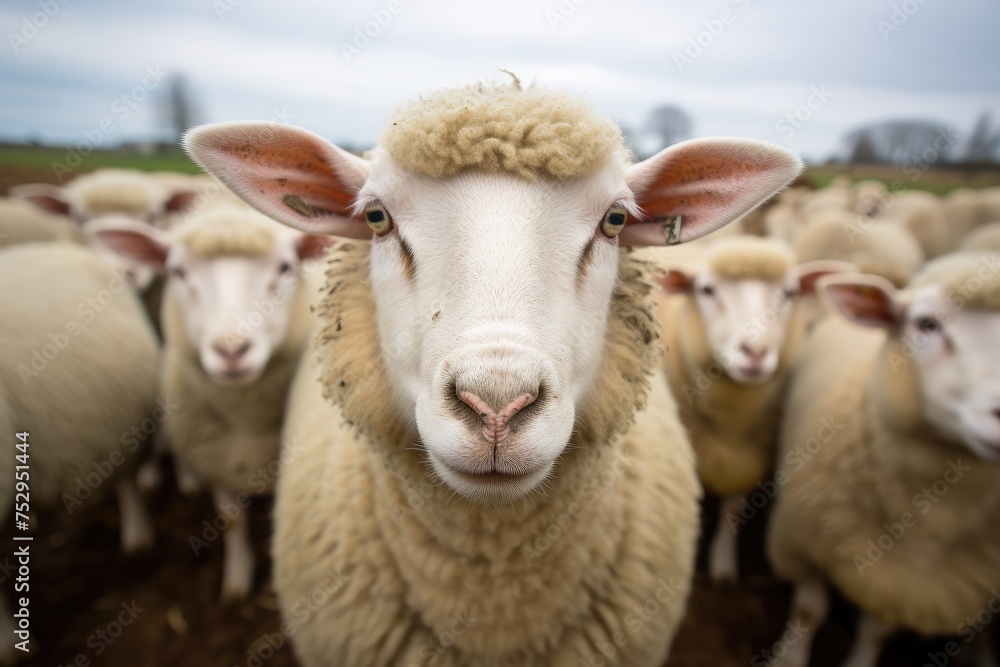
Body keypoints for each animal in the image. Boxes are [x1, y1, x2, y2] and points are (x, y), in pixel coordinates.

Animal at [91, 205, 332, 600]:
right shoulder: (216, 457)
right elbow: (231, 519)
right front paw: (236, 580)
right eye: (178, 271)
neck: (248, 420)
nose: (232, 350)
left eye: (285, 267)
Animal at [660, 240, 848, 584]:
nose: (755, 352)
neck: (731, 423)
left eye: (790, 293)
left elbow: (733, 509)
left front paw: (722, 563)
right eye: (706, 290)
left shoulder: (748, 454)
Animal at [764, 252, 1000, 667]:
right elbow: (810, 609)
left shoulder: (902, 586)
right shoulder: (802, 540)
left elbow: (877, 632)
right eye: (926, 323)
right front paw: (789, 658)